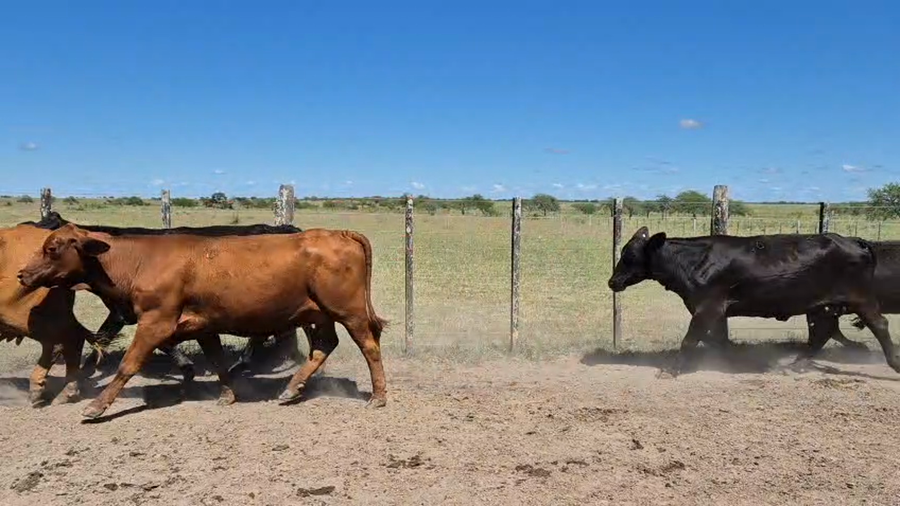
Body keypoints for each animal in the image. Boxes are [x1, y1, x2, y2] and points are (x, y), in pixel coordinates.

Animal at [607, 227, 900, 377]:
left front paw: (671, 370)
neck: (693, 260)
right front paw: (740, 359)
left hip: (859, 299)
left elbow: (691, 339)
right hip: (823, 306)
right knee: (823, 332)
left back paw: (892, 362)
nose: (612, 282)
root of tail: (854, 241)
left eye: (629, 255)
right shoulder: (713, 311)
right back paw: (796, 364)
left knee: (879, 325)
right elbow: (715, 340)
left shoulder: (708, 307)